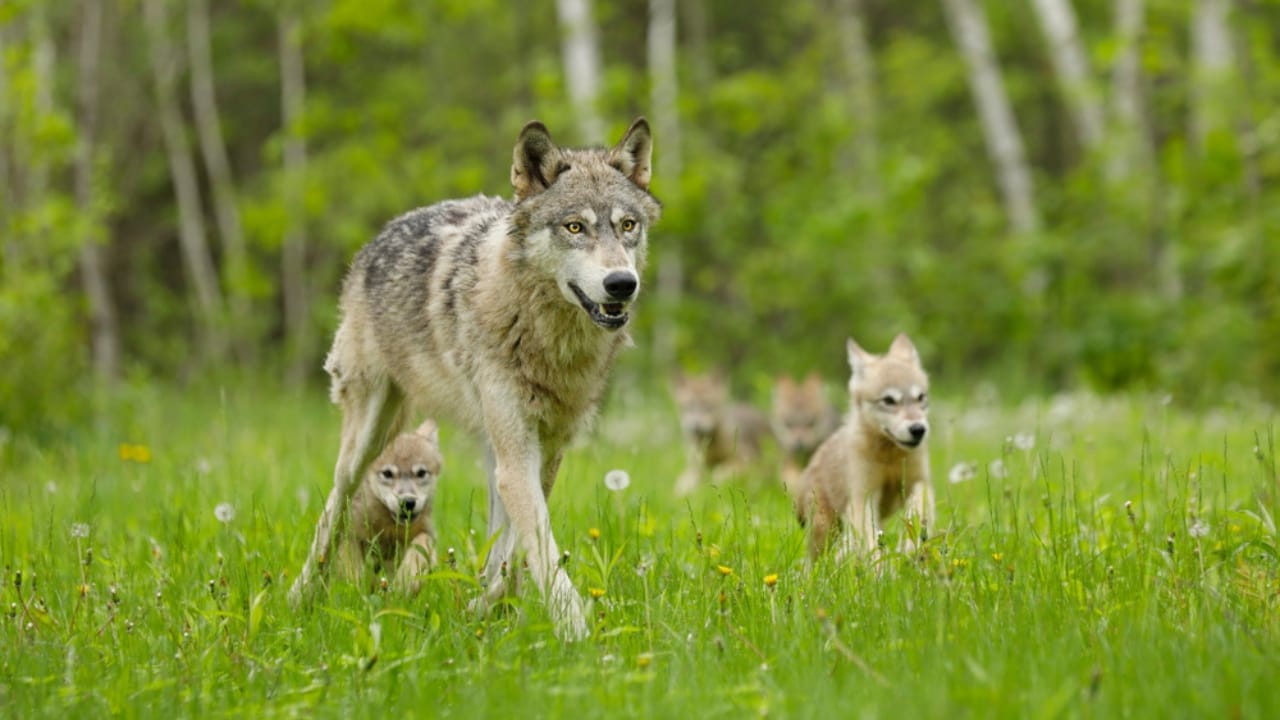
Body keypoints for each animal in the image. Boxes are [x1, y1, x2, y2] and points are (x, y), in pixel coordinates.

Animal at [336, 420, 441, 594]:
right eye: (387, 473)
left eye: (421, 473)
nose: (408, 502)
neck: (389, 528)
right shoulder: (349, 534)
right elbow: (353, 569)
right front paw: (358, 589)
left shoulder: (426, 533)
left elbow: (421, 545)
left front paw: (406, 579)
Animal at [796, 334, 934, 562]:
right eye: (888, 400)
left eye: (920, 398)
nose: (918, 429)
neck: (889, 456)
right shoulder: (863, 497)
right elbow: (870, 545)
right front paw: (879, 568)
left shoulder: (919, 483)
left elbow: (917, 515)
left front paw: (909, 548)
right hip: (824, 530)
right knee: (815, 561)